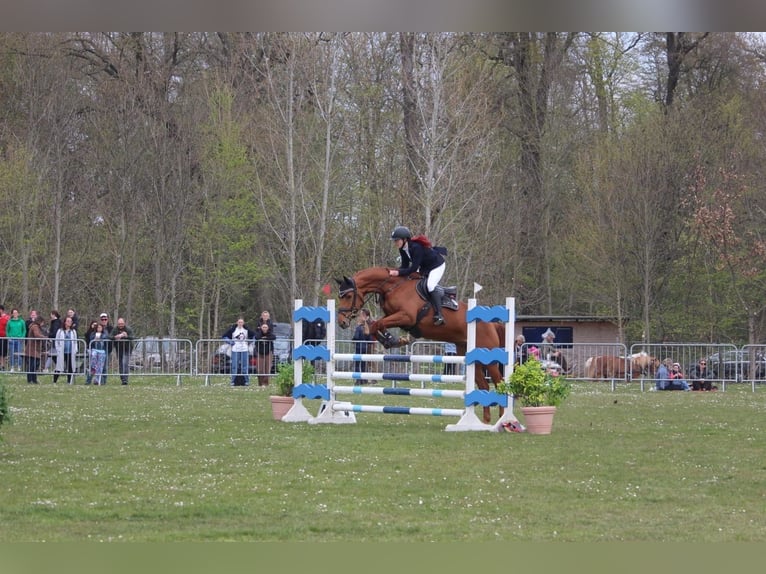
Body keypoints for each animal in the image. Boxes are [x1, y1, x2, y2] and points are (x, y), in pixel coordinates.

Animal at [336, 268, 510, 426]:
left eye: (349, 296)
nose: (341, 322)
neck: (394, 286)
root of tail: (492, 323)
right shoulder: (394, 316)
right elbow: (378, 323)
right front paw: (393, 340)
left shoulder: (406, 316)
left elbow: (375, 324)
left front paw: (392, 340)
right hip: (471, 357)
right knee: (484, 385)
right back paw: (486, 421)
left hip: (489, 358)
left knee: (499, 382)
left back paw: (502, 420)